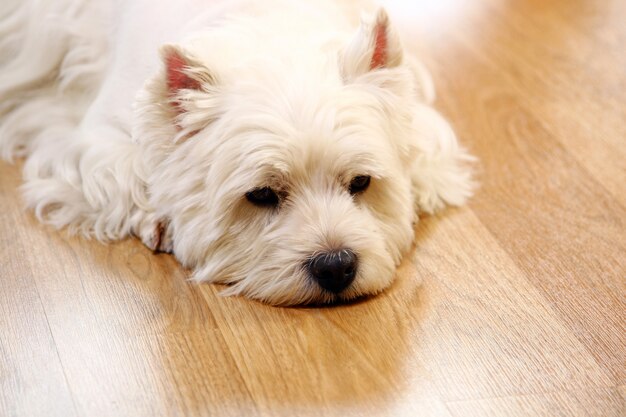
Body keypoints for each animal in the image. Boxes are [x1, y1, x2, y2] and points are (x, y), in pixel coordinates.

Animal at [0, 0, 472, 306]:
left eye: (361, 182)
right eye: (261, 195)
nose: (336, 266)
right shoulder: (93, 137)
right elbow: (125, 171)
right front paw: (160, 220)